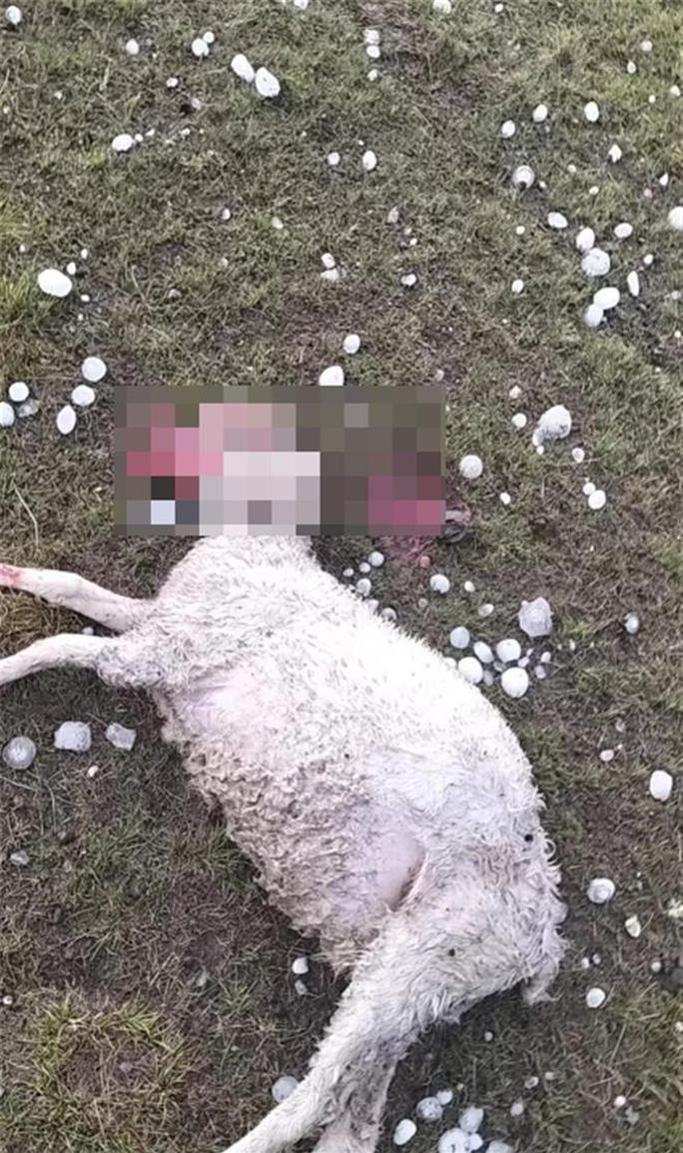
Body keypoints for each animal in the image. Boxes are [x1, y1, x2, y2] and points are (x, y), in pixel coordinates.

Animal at [0, 536, 567, 1153]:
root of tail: (542, 939)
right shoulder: (164, 625)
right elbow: (80, 591)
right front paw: (14, 576)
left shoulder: (167, 649)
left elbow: (64, 644)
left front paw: (4, 668)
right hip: (419, 980)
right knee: (354, 1117)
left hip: (425, 950)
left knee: (317, 1096)